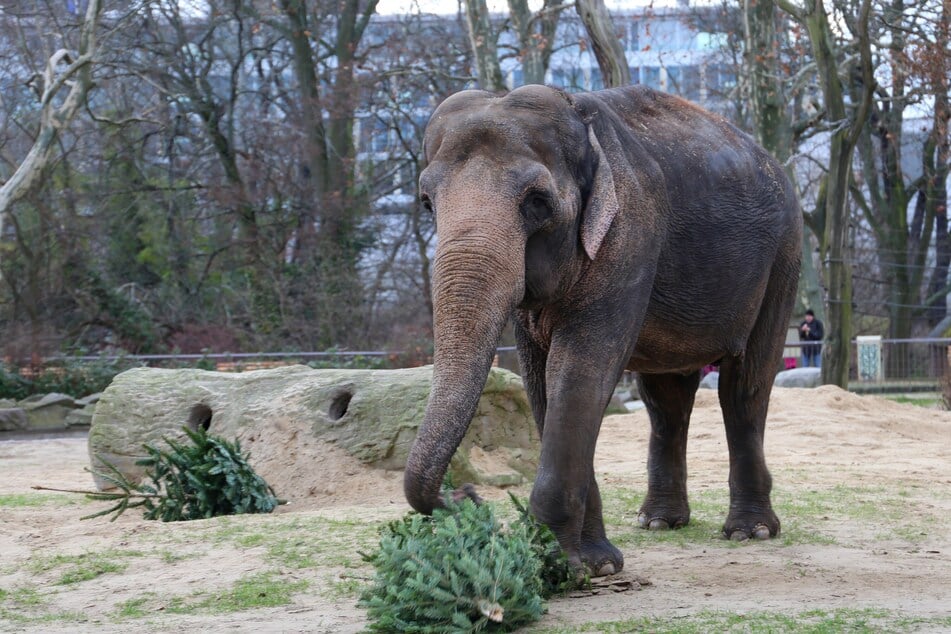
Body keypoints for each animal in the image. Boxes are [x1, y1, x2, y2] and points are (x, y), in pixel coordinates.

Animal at [404, 85, 804, 576]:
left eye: (537, 202)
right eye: (427, 202)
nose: (467, 495)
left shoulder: (630, 234)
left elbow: (577, 370)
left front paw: (556, 568)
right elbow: (541, 382)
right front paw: (596, 565)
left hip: (784, 256)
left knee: (744, 386)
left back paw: (751, 531)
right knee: (666, 399)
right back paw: (660, 522)